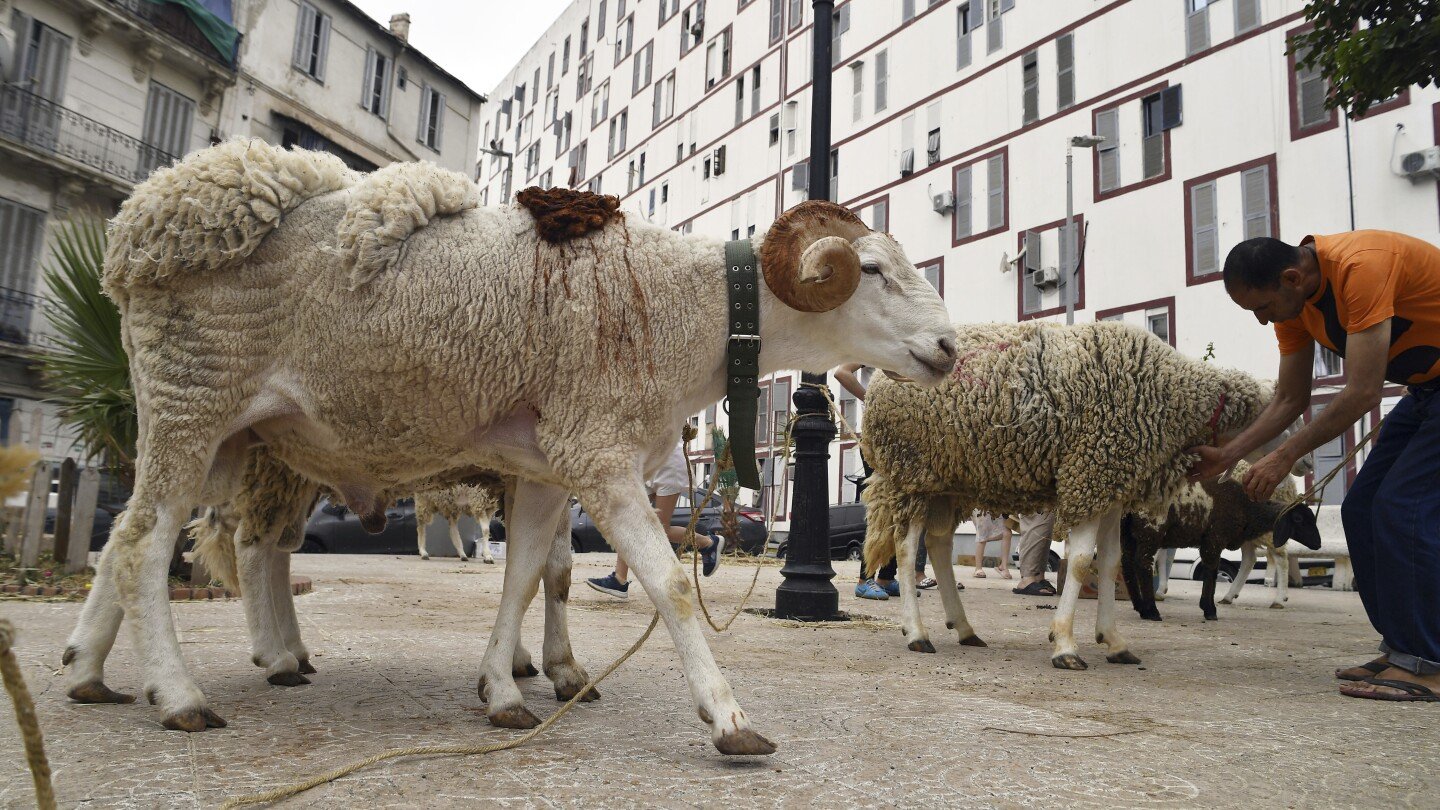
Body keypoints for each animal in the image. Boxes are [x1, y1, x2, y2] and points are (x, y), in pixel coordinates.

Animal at [63, 139, 957, 752]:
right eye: (872, 270)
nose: (950, 348)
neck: (693, 311)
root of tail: (143, 225)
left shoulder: (552, 465)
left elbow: (528, 577)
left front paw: (504, 690)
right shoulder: (598, 450)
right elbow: (668, 584)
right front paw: (728, 717)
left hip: (227, 432)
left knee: (130, 540)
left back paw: (90, 672)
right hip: (191, 398)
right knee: (147, 544)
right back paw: (180, 694)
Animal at [1120, 464, 1322, 622]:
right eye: (1299, 519)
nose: (1318, 544)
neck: (1247, 507)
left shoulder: (1211, 542)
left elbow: (1212, 571)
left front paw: (1208, 607)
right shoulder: (1214, 539)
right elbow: (1211, 573)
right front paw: (1209, 610)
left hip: (1127, 533)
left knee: (1127, 563)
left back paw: (1140, 607)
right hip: (1150, 529)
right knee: (1142, 563)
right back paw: (1151, 611)